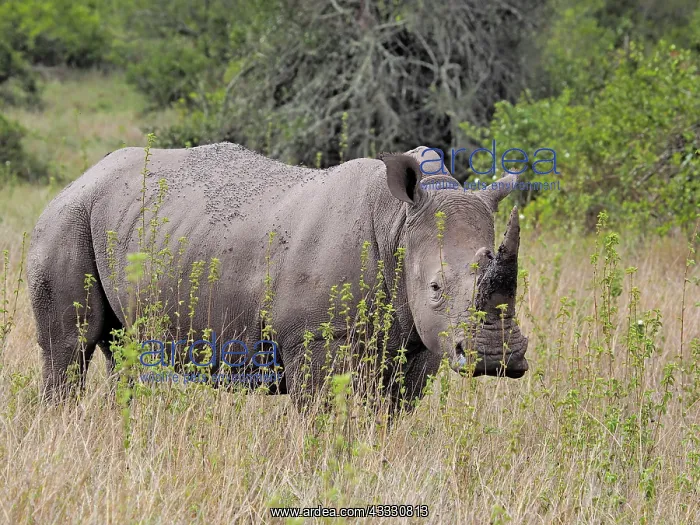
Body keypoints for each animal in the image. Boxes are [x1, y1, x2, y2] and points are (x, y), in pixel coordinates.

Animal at [27, 143, 528, 408]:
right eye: (436, 287)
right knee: (69, 345)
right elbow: (322, 413)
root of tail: (84, 174)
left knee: (122, 346)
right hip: (68, 216)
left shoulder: (419, 339)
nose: (496, 360)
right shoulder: (315, 335)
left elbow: (386, 413)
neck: (398, 225)